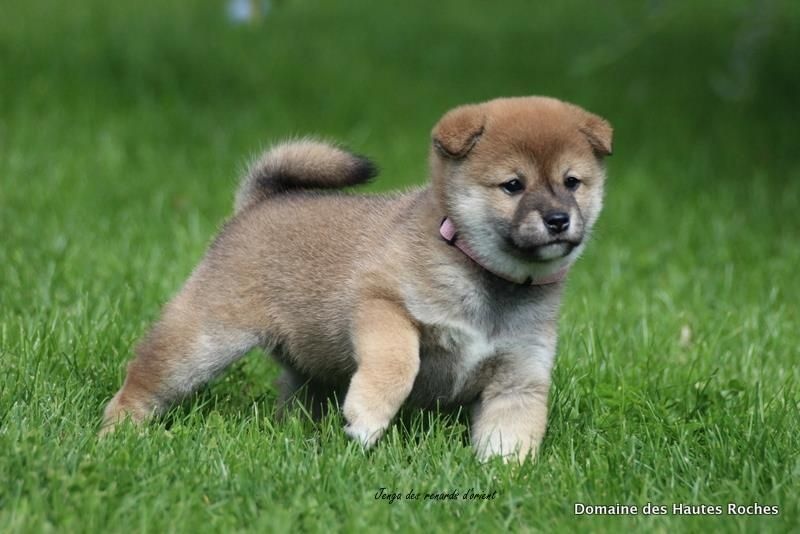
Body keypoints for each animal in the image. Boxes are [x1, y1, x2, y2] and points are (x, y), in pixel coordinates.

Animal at [102, 96, 612, 461]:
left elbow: (511, 438)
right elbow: (398, 362)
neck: (488, 281)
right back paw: (118, 433)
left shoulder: (518, 378)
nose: (558, 219)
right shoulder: (383, 306)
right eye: (513, 185)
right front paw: (368, 416)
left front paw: (504, 481)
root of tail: (260, 203)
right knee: (144, 383)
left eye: (572, 182)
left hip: (309, 368)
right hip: (200, 342)